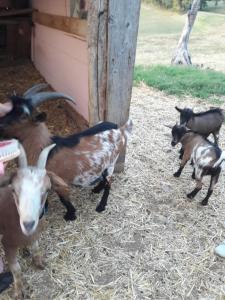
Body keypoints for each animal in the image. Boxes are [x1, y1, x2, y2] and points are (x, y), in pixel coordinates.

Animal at [0, 142, 68, 298]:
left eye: (47, 190)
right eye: (13, 190)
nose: (28, 224)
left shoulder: (34, 234)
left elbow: (36, 248)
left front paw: (39, 262)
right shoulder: (7, 243)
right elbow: (16, 269)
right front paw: (19, 291)